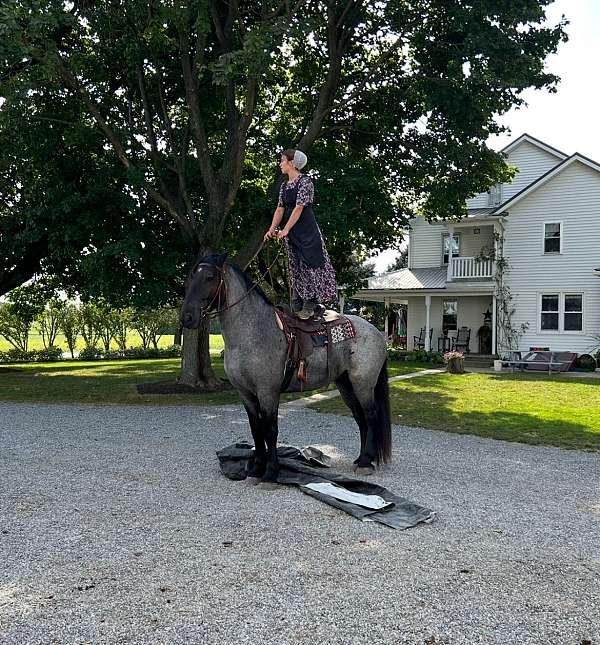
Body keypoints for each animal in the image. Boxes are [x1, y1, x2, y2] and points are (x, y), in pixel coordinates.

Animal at [180, 254, 392, 480]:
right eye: (191, 276)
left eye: (210, 277)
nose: (187, 317)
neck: (252, 332)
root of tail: (376, 332)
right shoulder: (245, 393)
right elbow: (256, 428)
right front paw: (256, 467)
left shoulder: (268, 392)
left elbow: (270, 429)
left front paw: (271, 472)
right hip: (345, 384)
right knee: (360, 418)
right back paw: (361, 459)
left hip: (363, 384)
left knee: (371, 416)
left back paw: (366, 462)